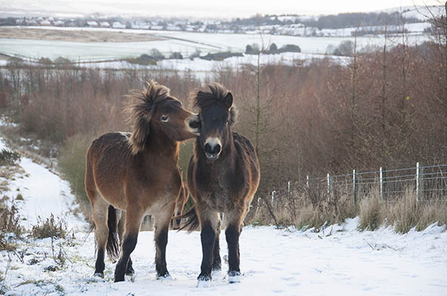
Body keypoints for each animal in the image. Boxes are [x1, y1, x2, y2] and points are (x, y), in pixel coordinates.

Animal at [85, 81, 200, 282]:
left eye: (180, 105)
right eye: (164, 117)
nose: (196, 122)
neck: (152, 171)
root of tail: (96, 143)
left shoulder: (165, 210)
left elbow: (161, 240)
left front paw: (163, 273)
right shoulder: (137, 209)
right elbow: (130, 242)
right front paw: (118, 276)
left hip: (123, 209)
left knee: (120, 232)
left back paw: (130, 268)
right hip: (99, 201)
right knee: (103, 233)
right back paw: (99, 270)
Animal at [183, 82, 260, 286]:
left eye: (225, 120)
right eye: (201, 120)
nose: (212, 148)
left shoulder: (237, 205)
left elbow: (232, 234)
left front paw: (234, 272)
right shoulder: (204, 205)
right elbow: (208, 235)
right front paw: (205, 274)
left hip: (245, 205)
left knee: (236, 231)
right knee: (217, 229)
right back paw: (216, 264)